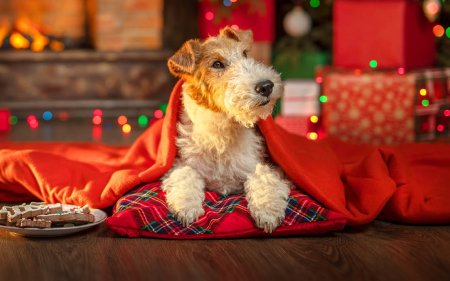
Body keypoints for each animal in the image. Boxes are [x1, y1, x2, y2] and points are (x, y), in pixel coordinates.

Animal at [162, 26, 292, 232]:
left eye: (245, 53)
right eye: (217, 64)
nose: (266, 86)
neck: (221, 132)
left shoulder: (265, 165)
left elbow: (263, 178)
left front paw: (267, 212)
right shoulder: (181, 163)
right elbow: (186, 175)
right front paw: (187, 208)